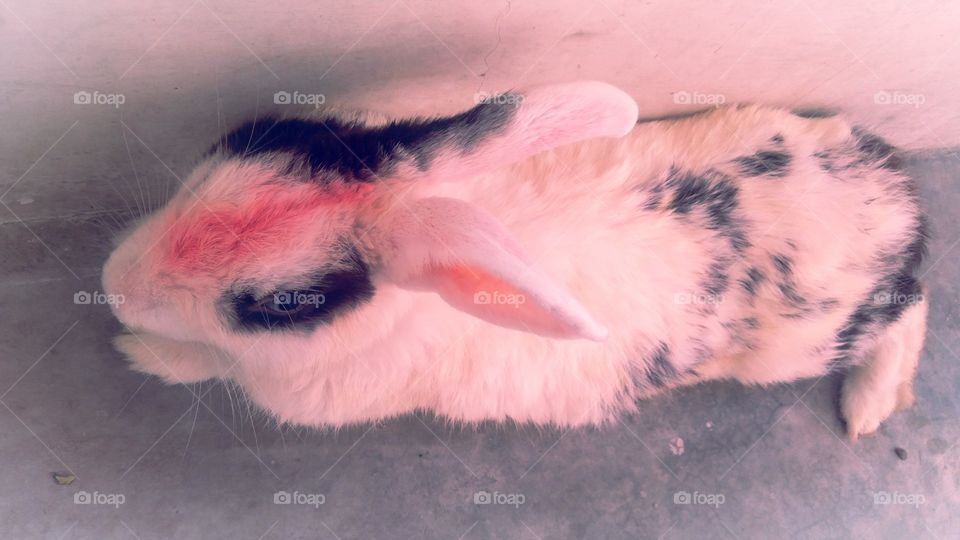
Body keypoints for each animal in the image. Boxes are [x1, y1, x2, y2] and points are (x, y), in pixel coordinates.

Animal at [102, 81, 928, 440]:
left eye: (282, 306)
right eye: (245, 138)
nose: (113, 284)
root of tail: (895, 204)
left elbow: (203, 365)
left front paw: (137, 351)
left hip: (805, 345)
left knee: (911, 311)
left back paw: (868, 408)